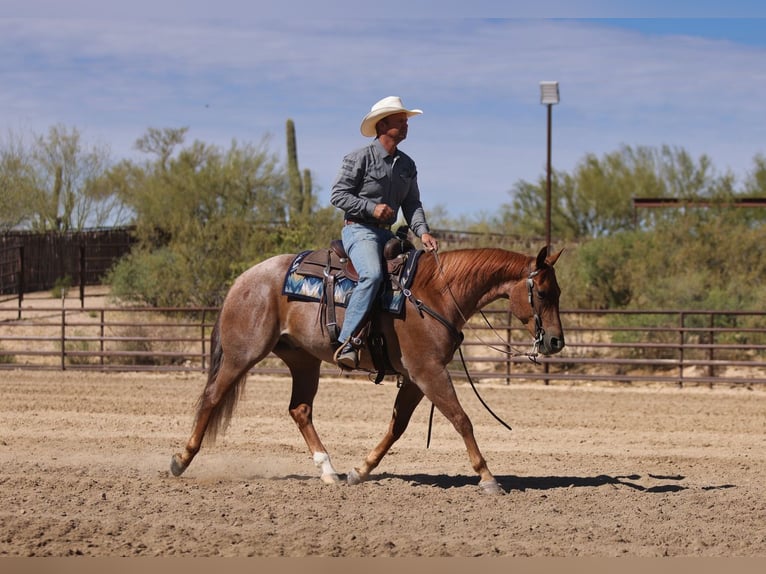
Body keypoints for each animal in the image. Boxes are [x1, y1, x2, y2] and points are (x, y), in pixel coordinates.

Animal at [170, 245, 564, 494]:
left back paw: (329, 471)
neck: (435, 294)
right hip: (243, 354)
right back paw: (181, 460)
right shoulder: (429, 372)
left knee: (300, 410)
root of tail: (244, 279)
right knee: (211, 398)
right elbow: (461, 419)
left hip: (303, 360)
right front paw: (487, 477)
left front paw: (359, 471)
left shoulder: (417, 379)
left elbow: (396, 427)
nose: (556, 341)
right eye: (544, 293)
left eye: (558, 292)